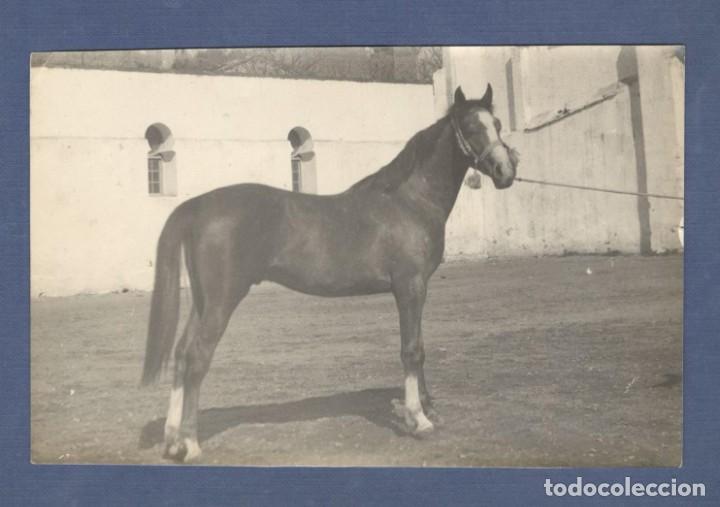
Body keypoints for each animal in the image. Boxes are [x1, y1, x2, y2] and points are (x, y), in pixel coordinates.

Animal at [141, 85, 519, 462]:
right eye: (471, 127)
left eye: (498, 124)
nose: (505, 171)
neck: (409, 201)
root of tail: (197, 205)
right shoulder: (410, 287)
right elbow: (411, 349)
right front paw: (419, 419)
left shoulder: (416, 289)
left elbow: (420, 346)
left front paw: (427, 410)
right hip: (223, 300)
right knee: (197, 357)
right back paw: (190, 444)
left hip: (203, 301)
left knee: (181, 353)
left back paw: (173, 439)